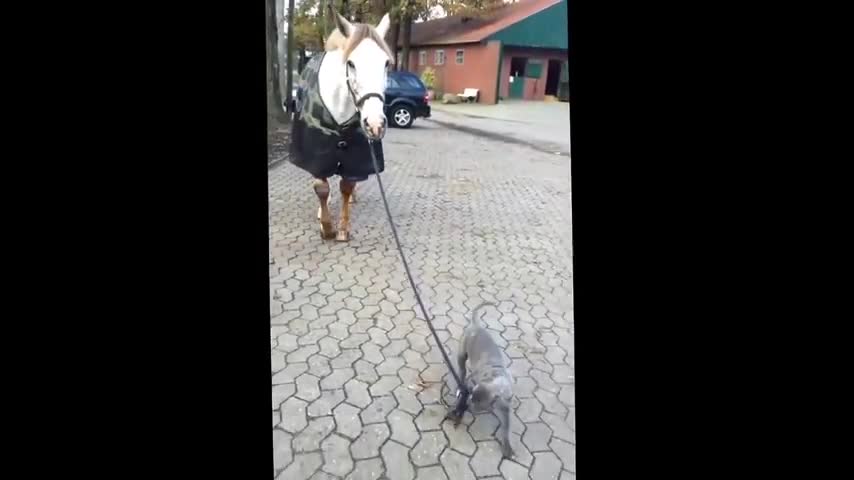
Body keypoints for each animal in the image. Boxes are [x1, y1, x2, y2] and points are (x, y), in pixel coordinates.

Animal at [290, 10, 392, 244]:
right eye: (351, 63)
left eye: (386, 63)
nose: (375, 124)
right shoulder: (316, 153)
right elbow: (321, 188)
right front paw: (326, 228)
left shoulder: (355, 156)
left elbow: (346, 186)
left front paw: (343, 229)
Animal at [454, 304, 516, 458]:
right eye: (471, 399)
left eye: (478, 404)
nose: (468, 406)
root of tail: (476, 325)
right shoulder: (474, 379)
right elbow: (467, 384)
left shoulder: (506, 407)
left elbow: (506, 427)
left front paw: (507, 446)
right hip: (462, 353)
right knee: (462, 370)